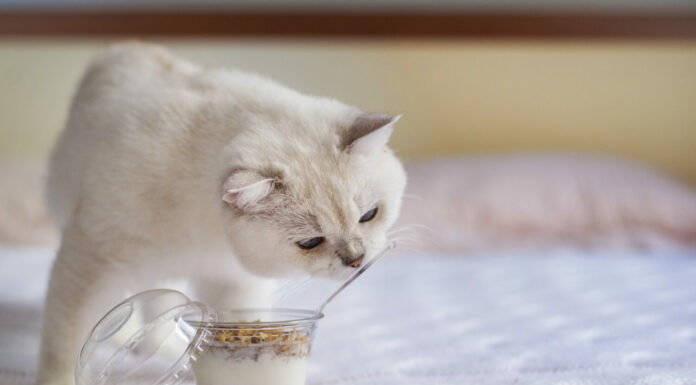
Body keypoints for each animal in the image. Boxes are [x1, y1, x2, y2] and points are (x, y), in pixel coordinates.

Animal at [36, 42, 408, 384]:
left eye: (369, 215)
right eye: (310, 242)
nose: (357, 261)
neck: (209, 231)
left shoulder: (232, 281)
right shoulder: (89, 264)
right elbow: (65, 344)